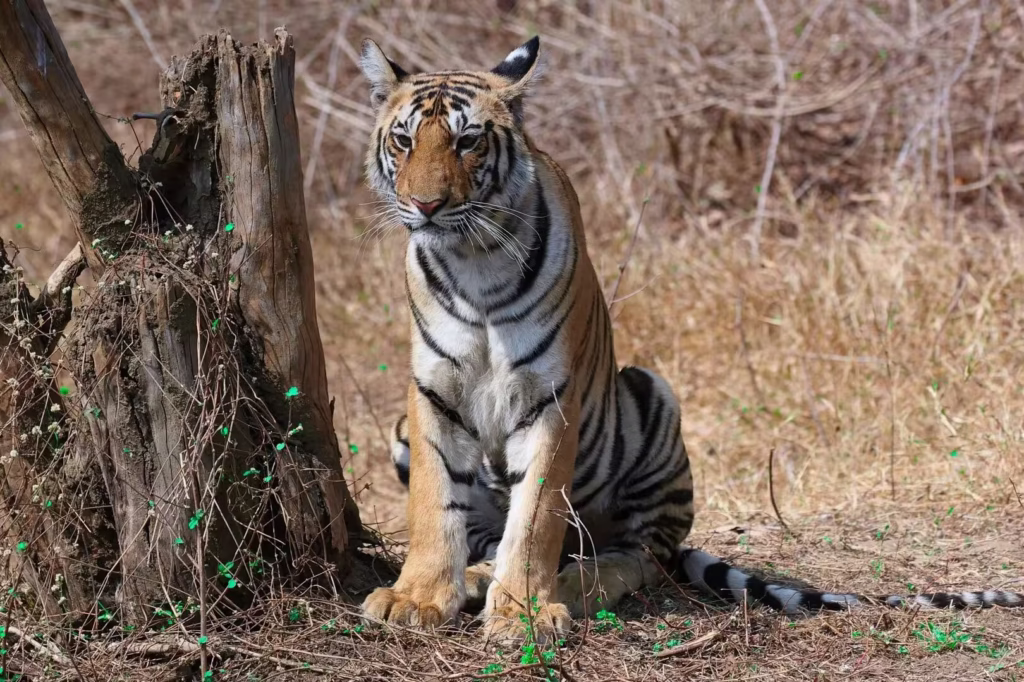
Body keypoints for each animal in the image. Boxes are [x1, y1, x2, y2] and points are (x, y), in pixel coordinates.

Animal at [356, 35, 1023, 643]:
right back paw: (477, 574)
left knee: (637, 555)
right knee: (497, 535)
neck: (475, 260)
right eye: (404, 140)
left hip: (652, 402)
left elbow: (536, 517)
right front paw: (416, 598)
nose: (426, 205)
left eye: (468, 140)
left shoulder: (551, 397)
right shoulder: (433, 392)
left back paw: (567, 584)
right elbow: (432, 501)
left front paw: (524, 611)